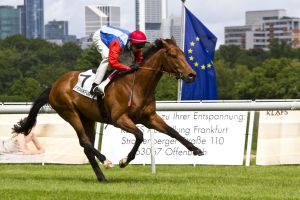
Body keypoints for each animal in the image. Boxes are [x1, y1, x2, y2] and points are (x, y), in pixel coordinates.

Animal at [12, 36, 204, 182]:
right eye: (173, 55)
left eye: (183, 54)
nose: (192, 75)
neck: (137, 85)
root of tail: (54, 85)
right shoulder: (119, 119)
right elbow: (140, 135)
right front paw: (124, 161)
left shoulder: (150, 118)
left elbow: (173, 131)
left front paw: (196, 149)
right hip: (70, 113)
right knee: (85, 142)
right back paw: (106, 161)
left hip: (87, 118)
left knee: (87, 146)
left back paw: (102, 177)